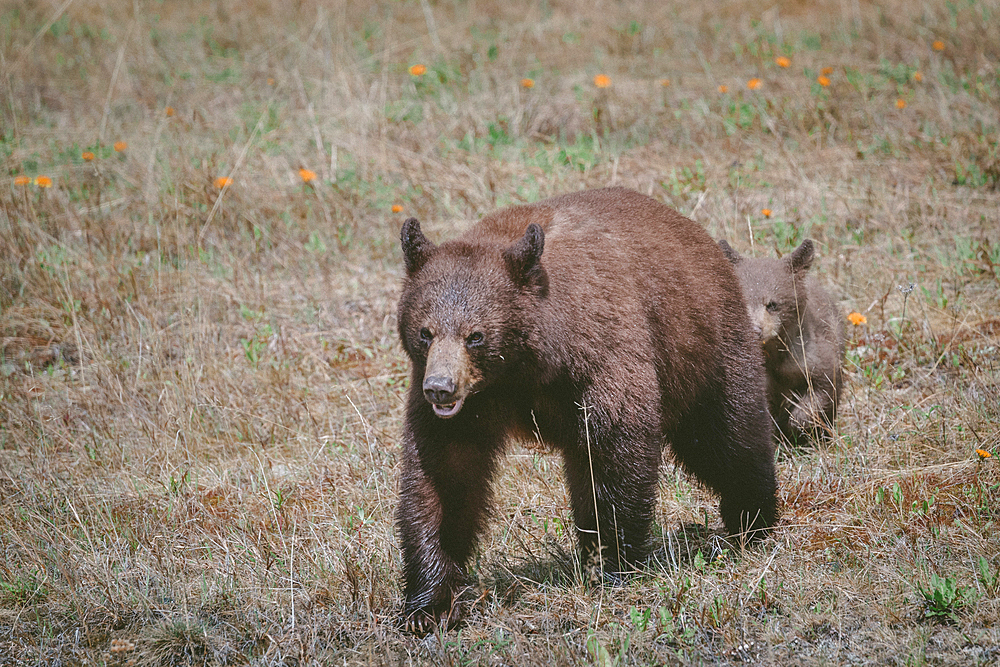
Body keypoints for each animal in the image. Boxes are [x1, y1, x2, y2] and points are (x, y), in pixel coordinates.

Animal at [394, 187, 776, 632]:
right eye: (425, 332)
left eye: (476, 336)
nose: (440, 388)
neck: (527, 367)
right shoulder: (470, 406)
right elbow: (443, 474)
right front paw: (431, 601)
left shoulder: (601, 355)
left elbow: (613, 452)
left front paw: (613, 563)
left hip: (702, 347)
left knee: (728, 435)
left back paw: (753, 518)